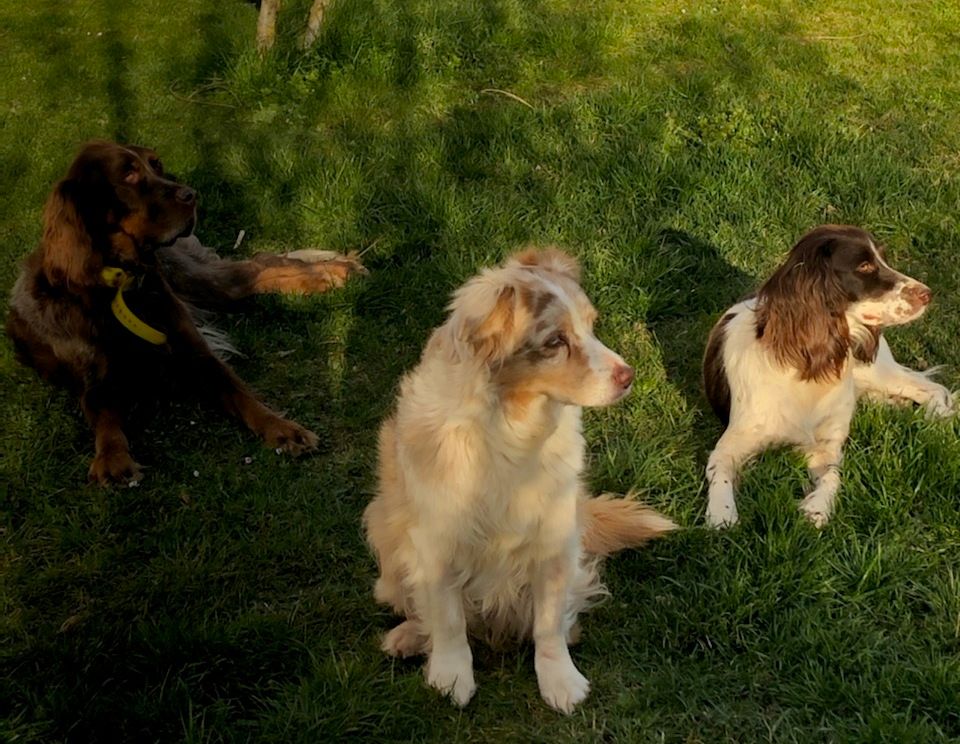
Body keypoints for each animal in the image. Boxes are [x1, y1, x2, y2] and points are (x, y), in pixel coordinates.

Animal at [6, 141, 364, 482]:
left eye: (156, 164)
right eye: (128, 174)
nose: (191, 195)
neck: (123, 287)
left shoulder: (195, 352)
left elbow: (241, 393)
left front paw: (283, 428)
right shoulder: (94, 382)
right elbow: (104, 420)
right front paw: (112, 459)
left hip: (191, 275)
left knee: (253, 269)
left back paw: (332, 272)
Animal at [362, 247, 676, 712]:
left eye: (591, 325)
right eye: (555, 342)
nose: (628, 375)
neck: (511, 428)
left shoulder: (554, 539)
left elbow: (547, 623)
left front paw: (561, 682)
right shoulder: (436, 542)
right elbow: (448, 619)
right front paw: (451, 678)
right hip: (386, 533)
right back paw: (408, 638)